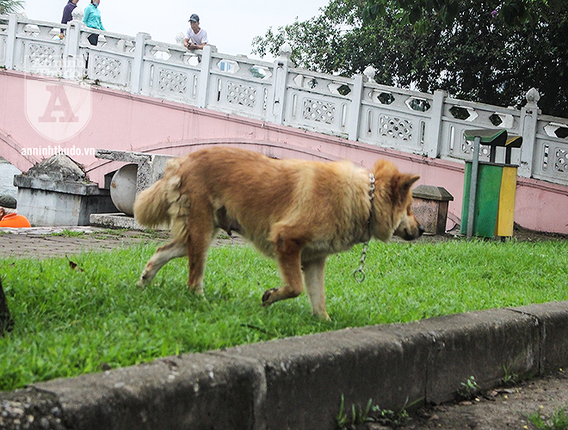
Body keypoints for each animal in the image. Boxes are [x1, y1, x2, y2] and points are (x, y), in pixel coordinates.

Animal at [133, 148, 422, 320]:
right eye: (409, 208)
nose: (421, 230)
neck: (363, 199)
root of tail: (183, 160)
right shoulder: (287, 241)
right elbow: (295, 287)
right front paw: (270, 297)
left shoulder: (315, 260)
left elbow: (318, 299)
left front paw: (324, 324)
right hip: (202, 235)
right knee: (193, 280)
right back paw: (202, 302)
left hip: (197, 236)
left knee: (161, 252)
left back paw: (143, 284)